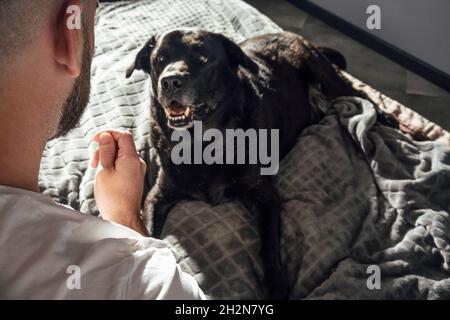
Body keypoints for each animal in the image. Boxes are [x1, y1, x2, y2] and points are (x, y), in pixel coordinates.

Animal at [125, 29, 358, 298]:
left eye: (203, 58)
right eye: (160, 59)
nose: (170, 81)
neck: (203, 145)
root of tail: (286, 33)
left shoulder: (265, 196)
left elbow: (269, 245)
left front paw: (276, 286)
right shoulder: (158, 194)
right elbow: (146, 230)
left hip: (324, 75)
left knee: (364, 98)